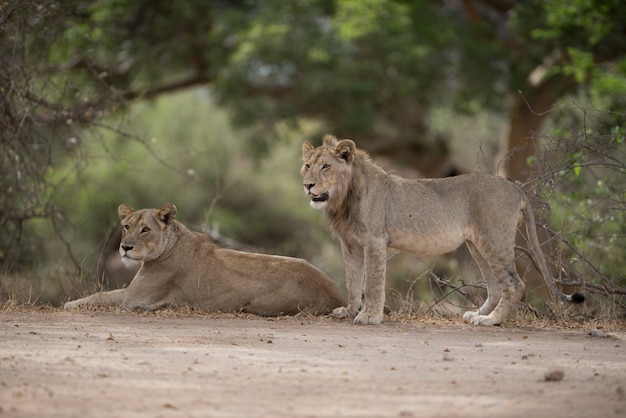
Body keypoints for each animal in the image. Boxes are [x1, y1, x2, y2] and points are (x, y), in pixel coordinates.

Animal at [64, 203, 342, 316]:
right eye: (126, 226)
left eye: (145, 229)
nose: (124, 247)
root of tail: (336, 296)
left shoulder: (135, 297)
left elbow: (101, 296)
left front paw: (71, 304)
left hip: (258, 304)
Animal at [300, 136, 584, 324]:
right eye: (307, 165)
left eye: (326, 166)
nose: (307, 185)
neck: (343, 199)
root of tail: (515, 187)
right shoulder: (350, 243)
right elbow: (352, 281)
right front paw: (349, 311)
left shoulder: (375, 240)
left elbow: (372, 282)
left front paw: (370, 316)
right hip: (477, 244)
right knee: (495, 285)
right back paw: (478, 314)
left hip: (494, 239)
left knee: (514, 284)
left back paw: (491, 320)